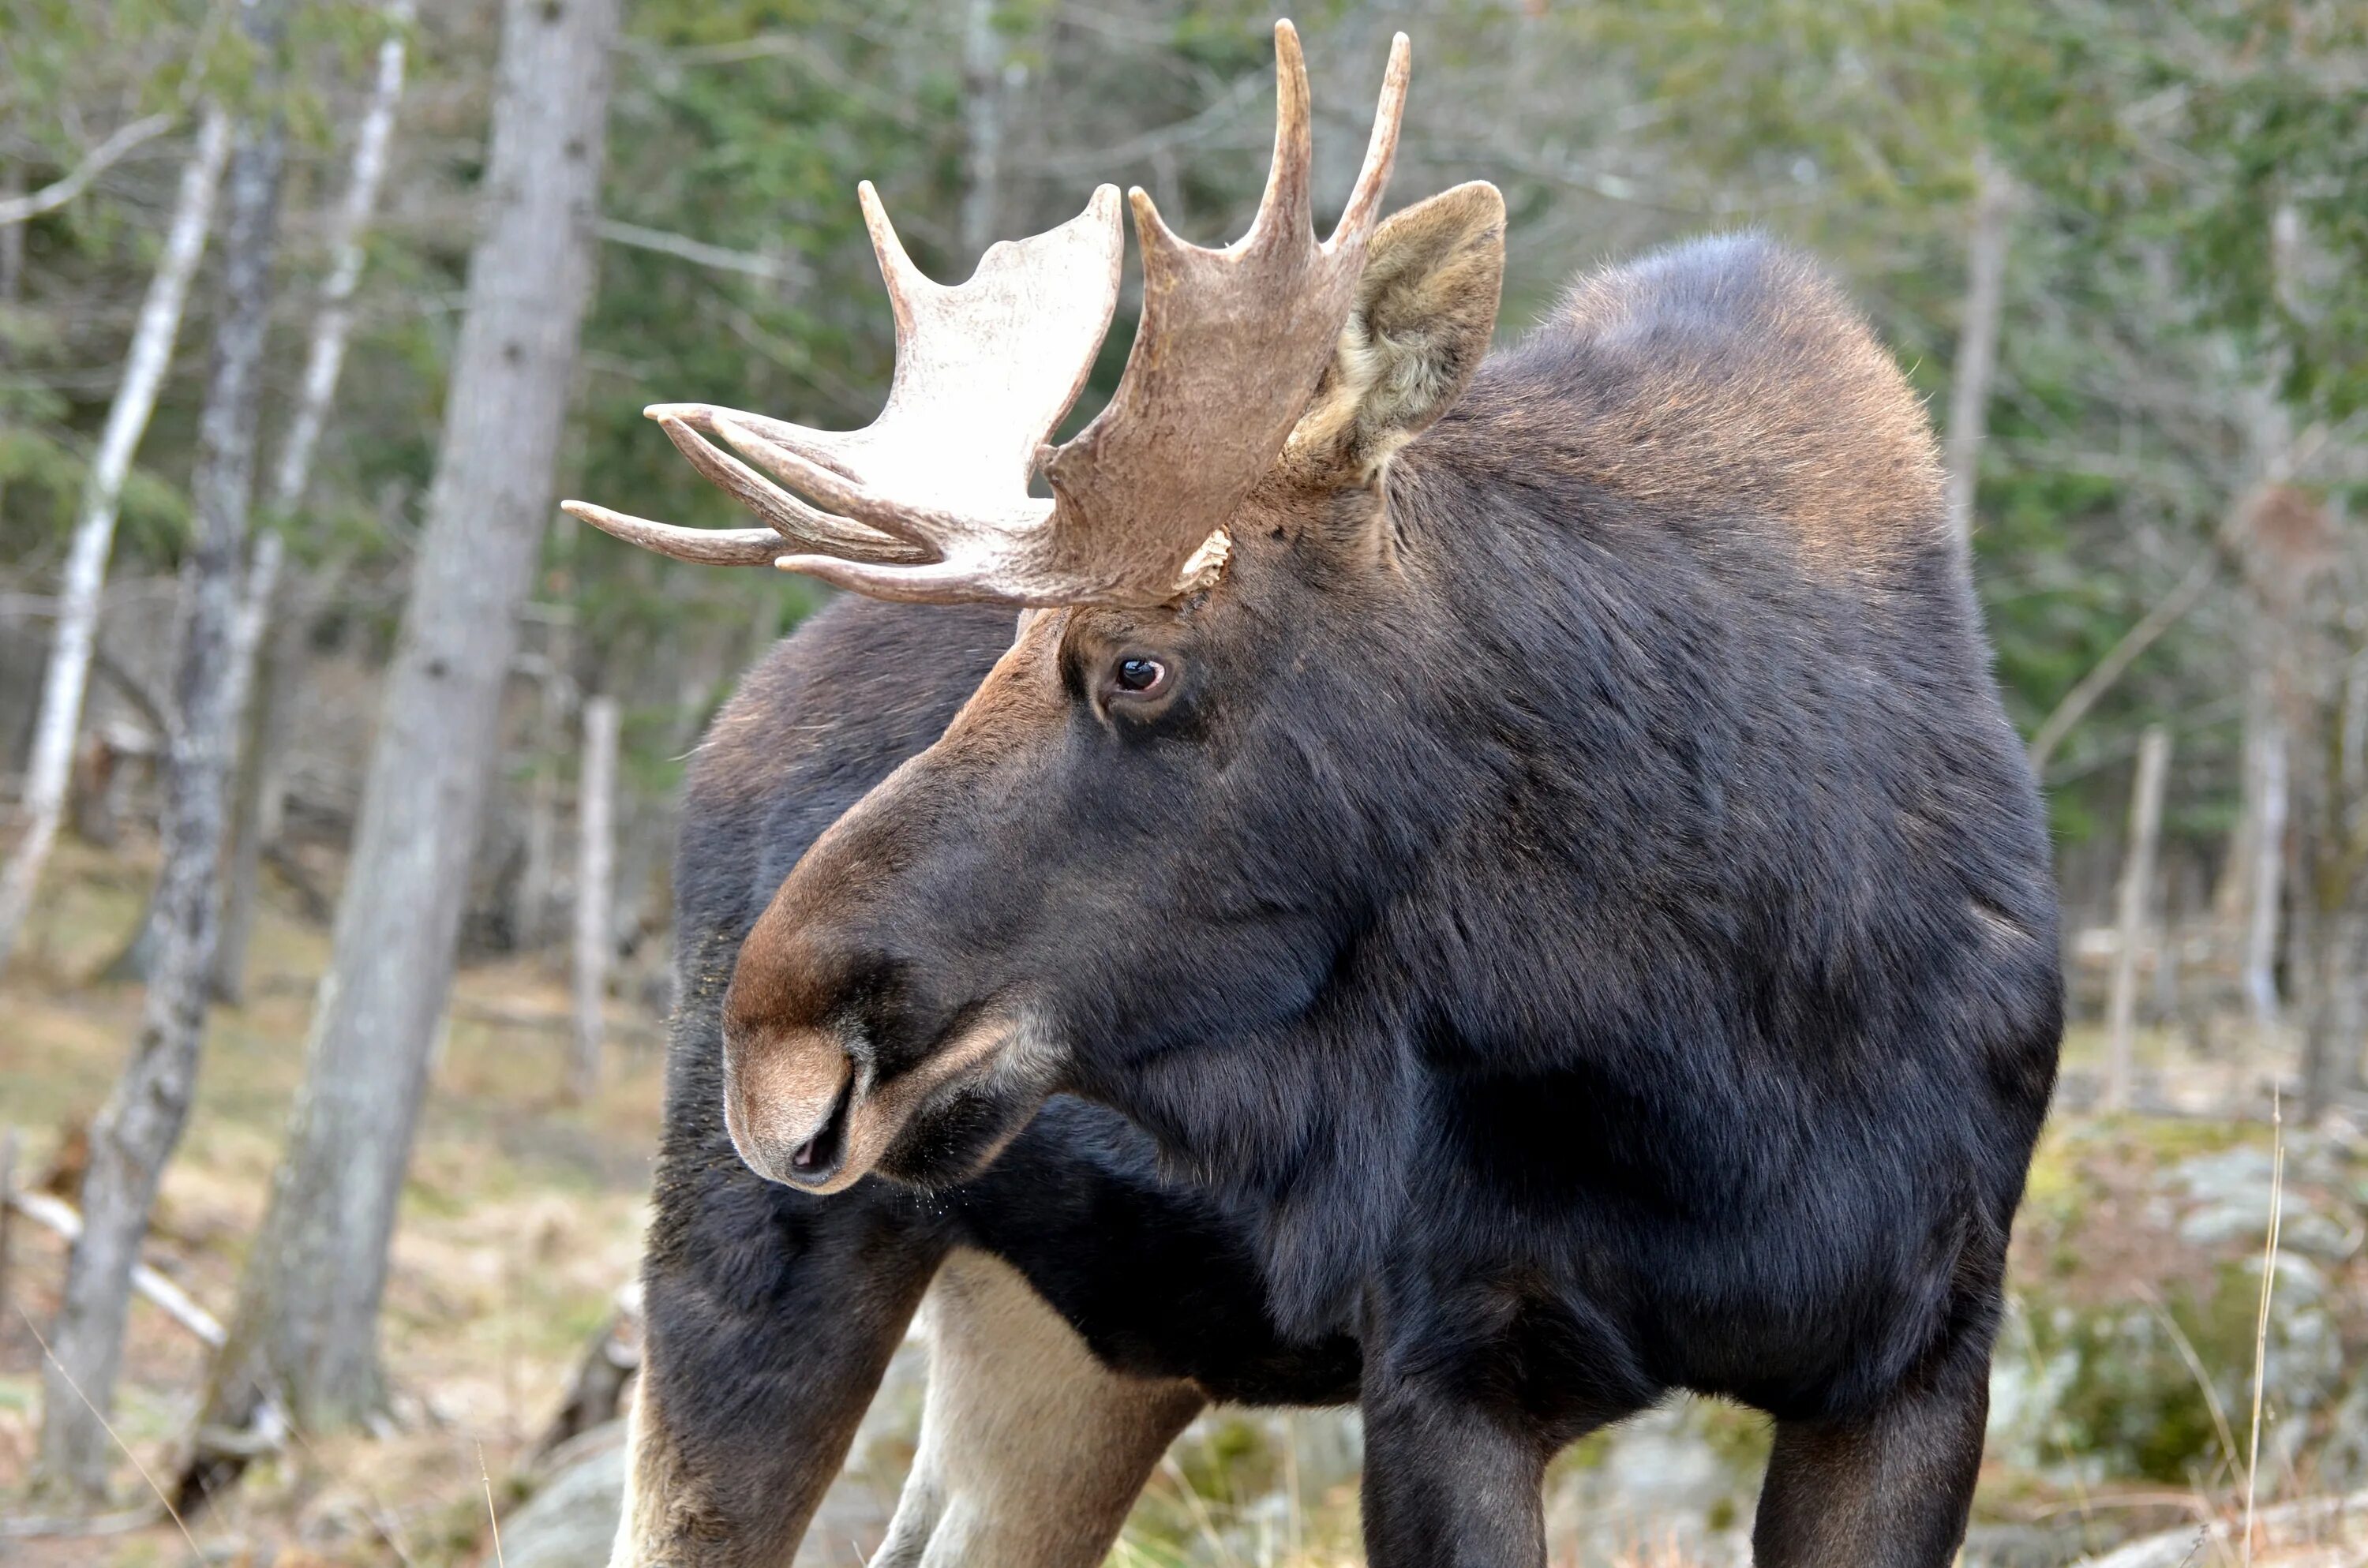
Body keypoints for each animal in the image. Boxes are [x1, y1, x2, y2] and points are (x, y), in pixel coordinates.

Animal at [568, 18, 2055, 1562]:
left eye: (1138, 663)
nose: (781, 1052)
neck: (1712, 1069)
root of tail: (730, 724)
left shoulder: (1916, 1364)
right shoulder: (1446, 1357)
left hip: (1081, 1340)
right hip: (747, 1260)